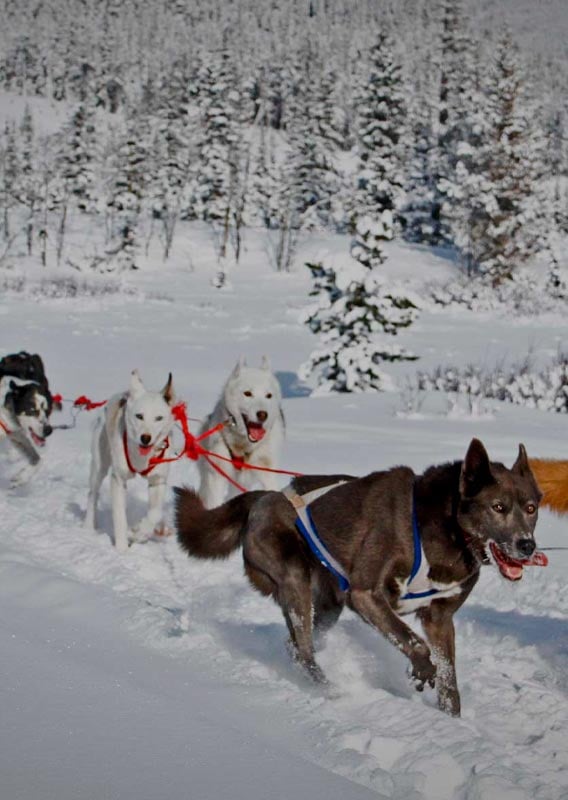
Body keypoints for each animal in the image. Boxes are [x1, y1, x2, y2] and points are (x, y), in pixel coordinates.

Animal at [0, 352, 60, 488]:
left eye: (48, 411)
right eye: (32, 410)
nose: (48, 430)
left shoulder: (17, 435)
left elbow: (37, 460)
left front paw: (21, 477)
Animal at [85, 368, 175, 552]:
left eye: (159, 418)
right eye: (139, 416)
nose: (145, 438)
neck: (142, 458)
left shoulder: (158, 481)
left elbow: (155, 513)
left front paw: (139, 532)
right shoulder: (118, 479)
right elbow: (120, 517)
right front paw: (121, 550)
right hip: (99, 467)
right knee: (93, 494)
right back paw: (89, 527)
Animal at [174, 440, 544, 716]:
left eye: (530, 508)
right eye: (498, 507)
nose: (527, 545)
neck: (444, 530)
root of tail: (266, 496)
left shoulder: (439, 619)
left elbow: (449, 678)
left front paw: (452, 720)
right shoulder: (366, 595)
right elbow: (414, 642)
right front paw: (421, 670)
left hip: (328, 606)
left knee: (296, 642)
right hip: (294, 576)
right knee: (303, 650)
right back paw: (330, 690)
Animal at [197, 360, 284, 510]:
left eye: (269, 395)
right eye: (247, 393)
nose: (263, 414)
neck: (242, 445)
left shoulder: (267, 471)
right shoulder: (217, 474)